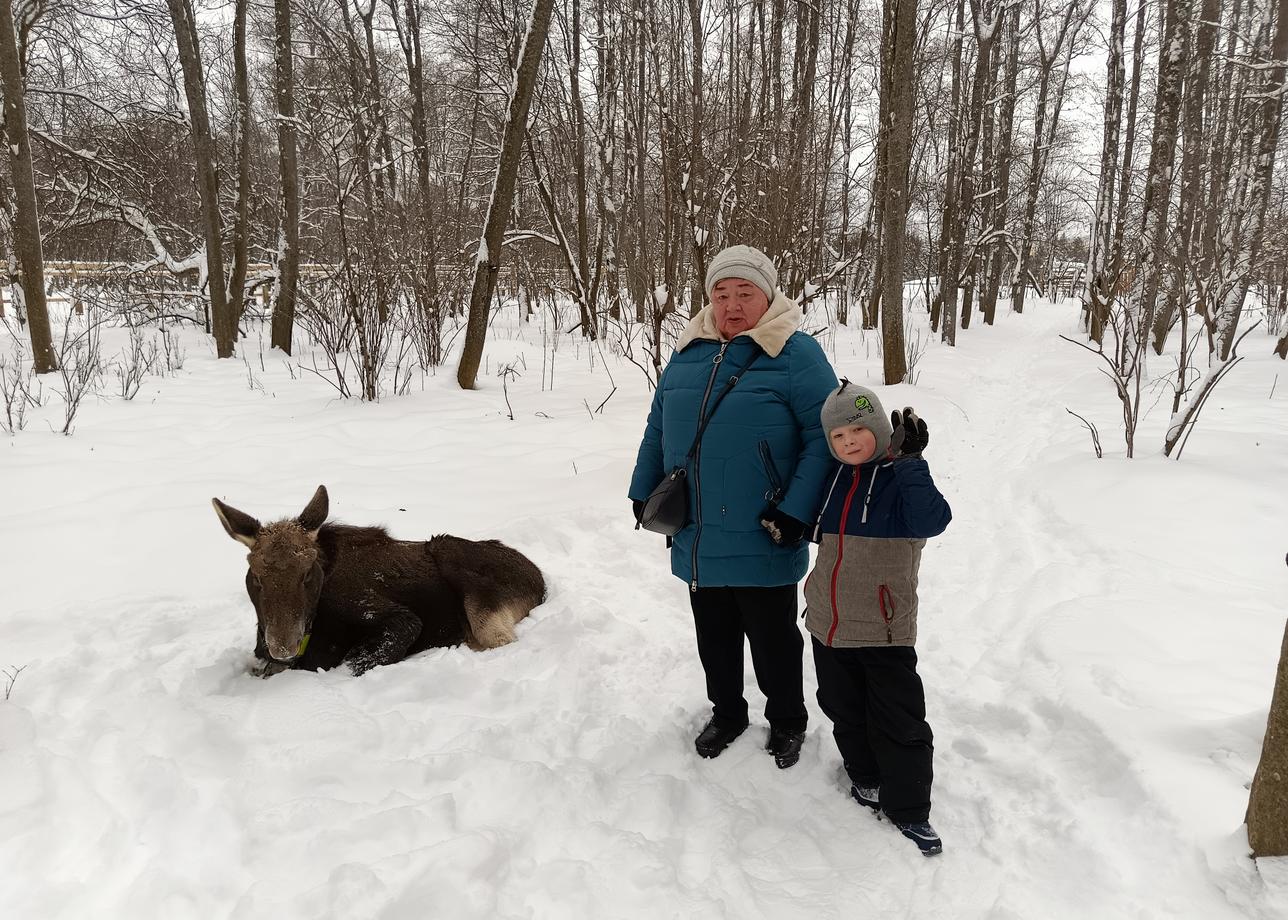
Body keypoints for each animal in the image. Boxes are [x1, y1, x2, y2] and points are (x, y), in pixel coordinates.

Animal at [211, 487, 543, 675]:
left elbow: (355, 662)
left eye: (307, 572)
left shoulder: (396, 618)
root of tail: (540, 581)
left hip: (459, 568)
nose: (282, 646)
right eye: (255, 574)